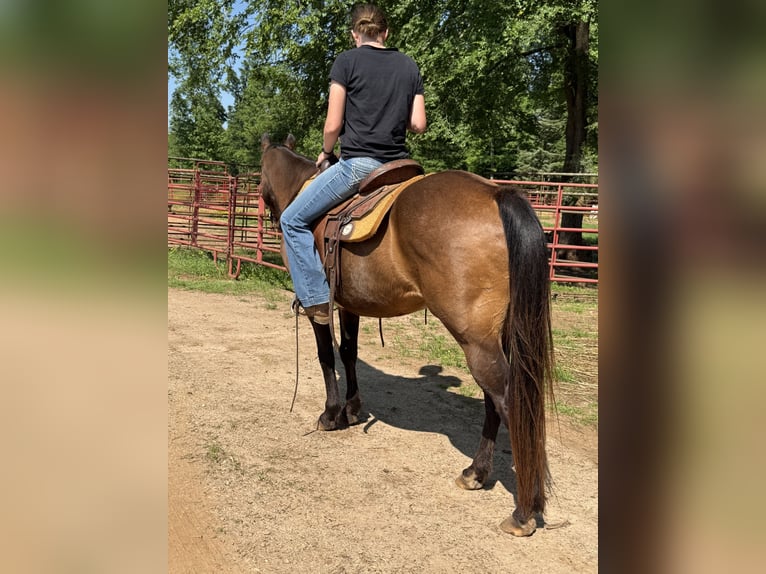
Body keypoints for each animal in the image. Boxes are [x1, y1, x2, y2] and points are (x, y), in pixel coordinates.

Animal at [258, 136, 555, 536]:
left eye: (260, 175)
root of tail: (495, 194)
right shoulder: (350, 304)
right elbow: (348, 351)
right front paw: (353, 409)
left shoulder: (316, 303)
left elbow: (325, 355)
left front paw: (332, 414)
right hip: (497, 337)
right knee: (494, 400)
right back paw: (475, 473)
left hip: (476, 340)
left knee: (508, 402)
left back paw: (523, 512)